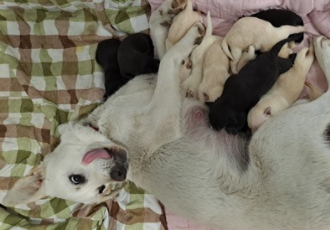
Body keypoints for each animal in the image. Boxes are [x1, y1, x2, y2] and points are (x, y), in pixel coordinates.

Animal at [3, 22, 330, 228]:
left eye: (76, 179)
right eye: (99, 189)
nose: (120, 173)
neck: (106, 127)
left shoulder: (176, 86)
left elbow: (166, 51)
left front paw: (171, 23)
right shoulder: (162, 118)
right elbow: (170, 60)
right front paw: (189, 37)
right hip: (277, 134)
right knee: (324, 100)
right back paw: (318, 52)